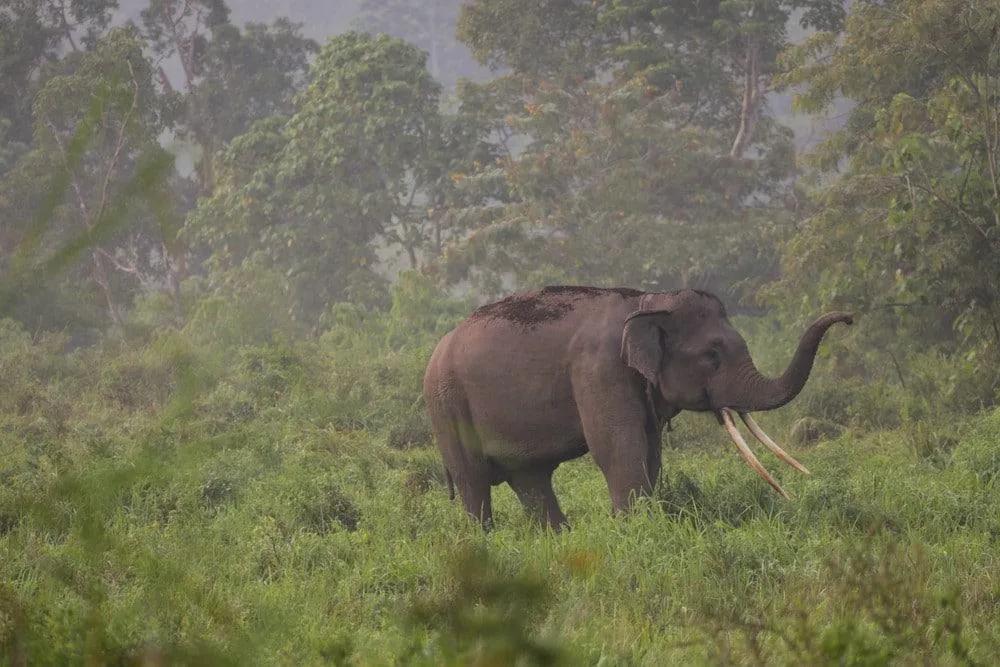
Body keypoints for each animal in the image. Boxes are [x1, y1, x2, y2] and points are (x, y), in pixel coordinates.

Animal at [423, 286, 852, 529]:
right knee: (473, 481)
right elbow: (617, 446)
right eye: (712, 355)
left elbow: (650, 449)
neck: (649, 302)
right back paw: (482, 542)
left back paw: (558, 537)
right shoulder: (598, 369)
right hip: (446, 406)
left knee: (531, 479)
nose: (848, 317)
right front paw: (633, 529)